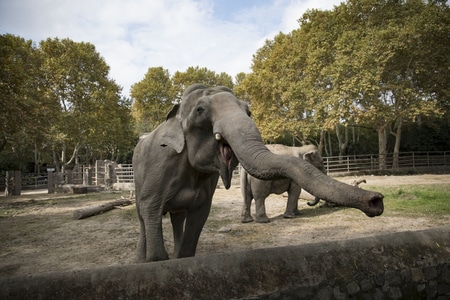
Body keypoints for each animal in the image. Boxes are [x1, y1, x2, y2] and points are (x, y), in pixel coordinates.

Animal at [133, 83, 384, 262]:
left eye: (249, 111)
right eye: (200, 110)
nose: (377, 201)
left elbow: (198, 216)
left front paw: (182, 259)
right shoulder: (160, 166)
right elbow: (151, 209)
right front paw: (158, 261)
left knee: (181, 216)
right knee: (143, 217)